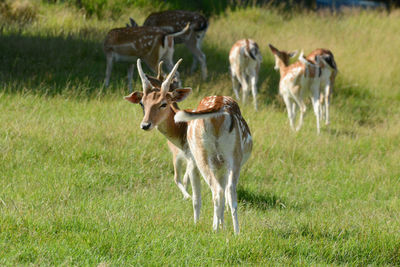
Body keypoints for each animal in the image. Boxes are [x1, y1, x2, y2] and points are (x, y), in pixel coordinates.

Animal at [125, 59, 252, 234]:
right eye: (142, 104)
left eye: (163, 104)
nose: (145, 125)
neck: (180, 133)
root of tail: (219, 112)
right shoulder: (221, 166)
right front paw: (223, 226)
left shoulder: (191, 160)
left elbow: (196, 198)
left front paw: (197, 224)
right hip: (233, 156)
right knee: (230, 194)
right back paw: (236, 232)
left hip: (201, 155)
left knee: (217, 191)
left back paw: (214, 230)